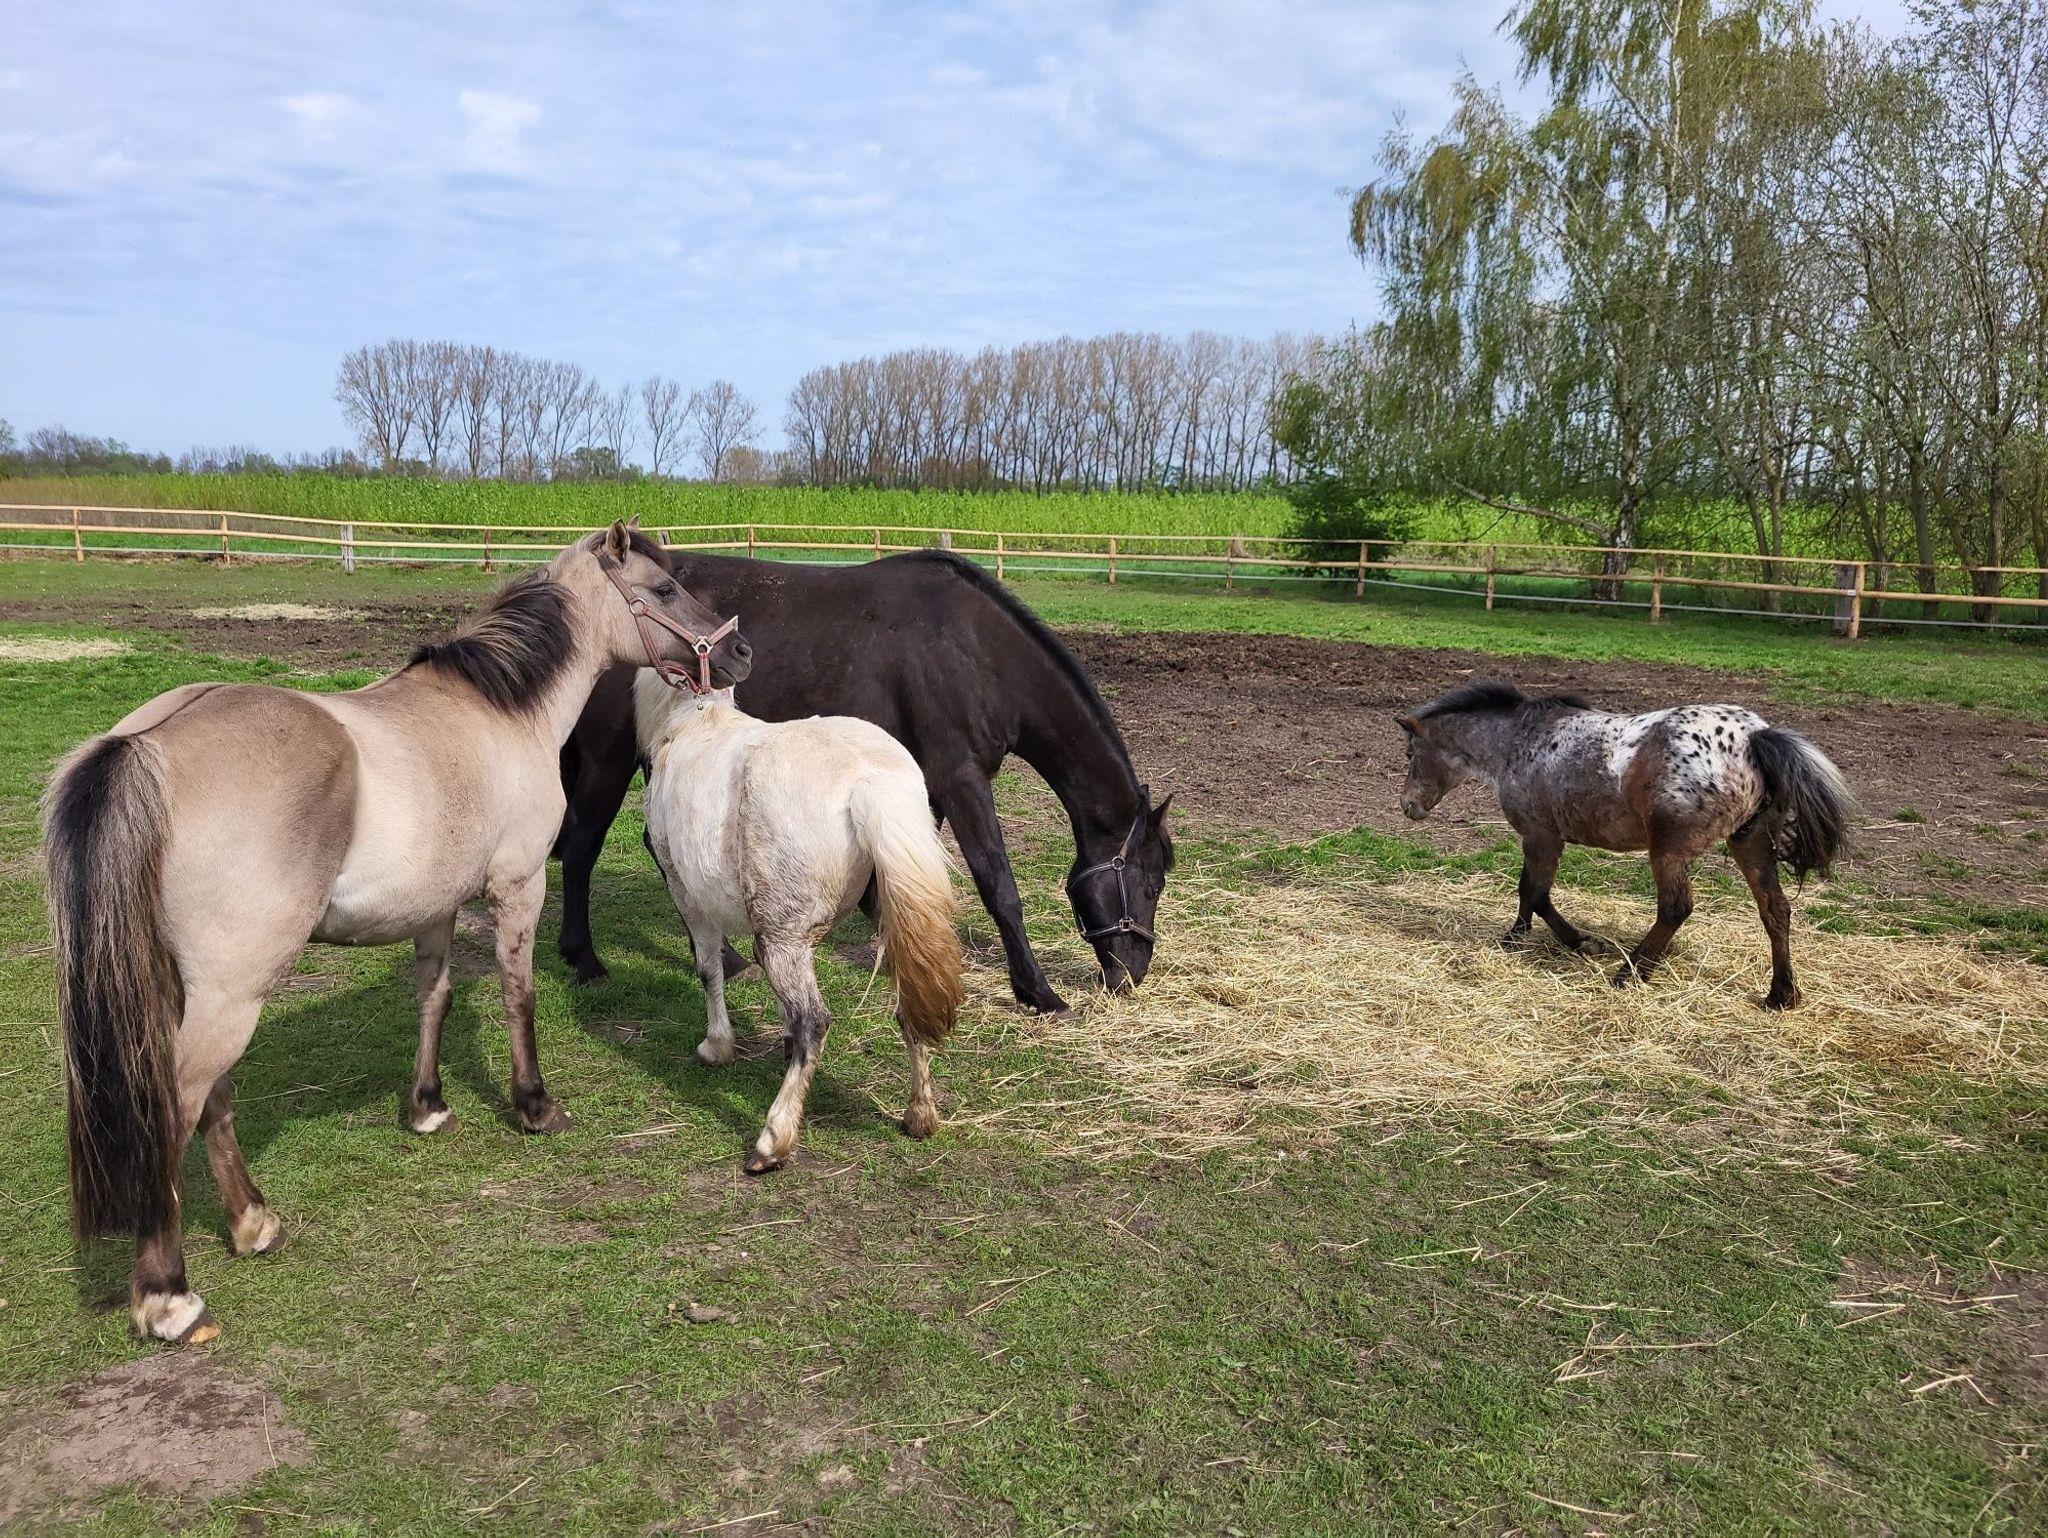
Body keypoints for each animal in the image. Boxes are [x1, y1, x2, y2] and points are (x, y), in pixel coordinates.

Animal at [44, 521, 750, 1343]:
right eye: (664, 588)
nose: (740, 653)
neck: (501, 713)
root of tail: (144, 747)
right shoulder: (520, 888)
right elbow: (519, 997)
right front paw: (535, 1105)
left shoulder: (435, 908)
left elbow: (433, 998)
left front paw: (427, 1106)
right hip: (230, 992)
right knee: (179, 1104)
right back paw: (169, 1297)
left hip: (192, 988)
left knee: (212, 1098)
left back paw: (253, 1222)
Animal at [554, 549, 1173, 1013]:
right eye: (1148, 884)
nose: (1132, 974)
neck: (974, 651)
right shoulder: (962, 780)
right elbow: (998, 884)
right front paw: (1037, 991)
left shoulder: (925, 781)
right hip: (610, 761)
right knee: (581, 847)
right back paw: (584, 958)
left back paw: (723, 958)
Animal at [634, 672, 964, 1173]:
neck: (696, 719)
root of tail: (867, 782)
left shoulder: (686, 893)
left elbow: (709, 969)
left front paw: (717, 1047)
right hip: (887, 918)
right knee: (910, 999)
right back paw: (920, 1115)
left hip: (780, 936)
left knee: (814, 1020)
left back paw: (773, 1141)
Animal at [1395, 681, 1853, 1008]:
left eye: (1410, 753)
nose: (1408, 806)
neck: (1517, 743)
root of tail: (1755, 738)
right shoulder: (1537, 837)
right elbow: (1527, 891)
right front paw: (1515, 936)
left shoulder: (1542, 836)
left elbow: (1537, 892)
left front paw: (1580, 942)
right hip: (1750, 841)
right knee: (1776, 910)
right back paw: (1781, 994)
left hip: (1668, 850)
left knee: (1675, 908)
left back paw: (1631, 972)